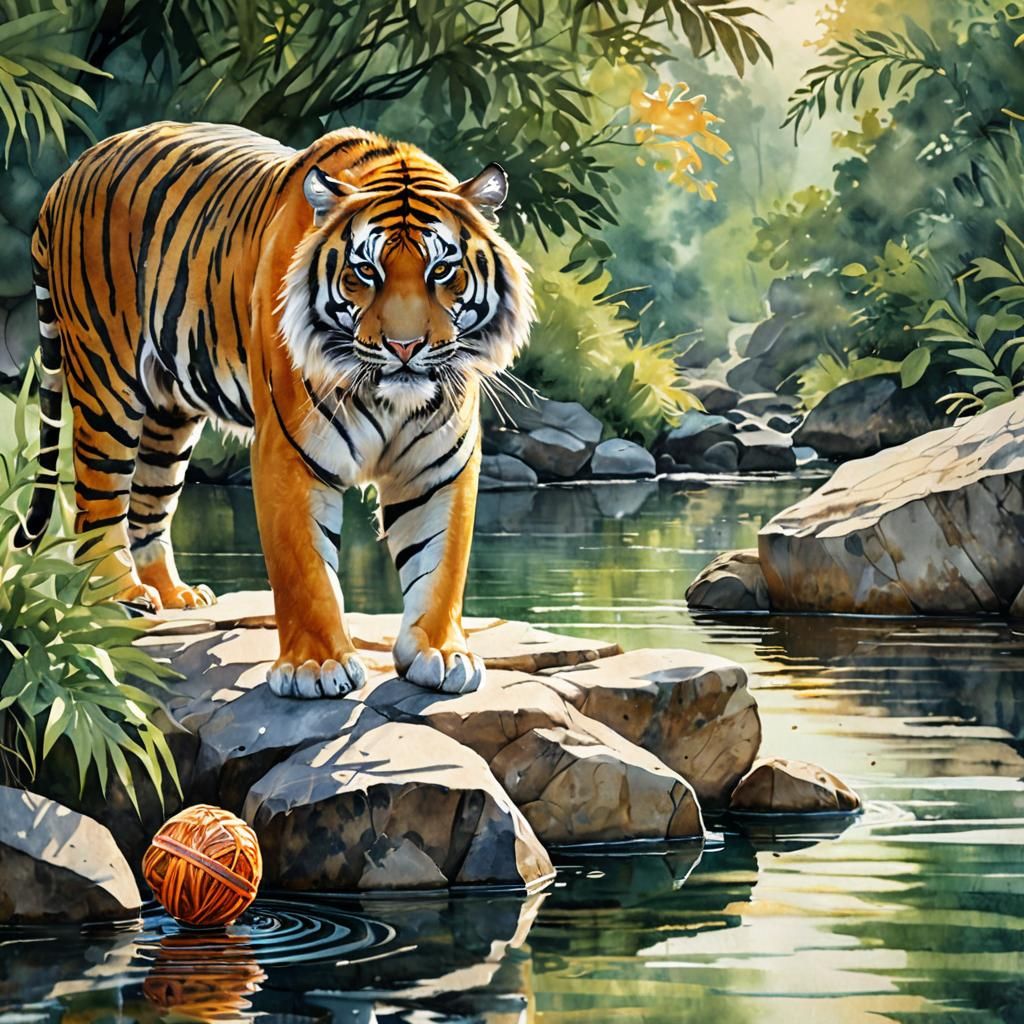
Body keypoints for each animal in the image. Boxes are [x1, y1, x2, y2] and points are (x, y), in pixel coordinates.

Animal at [15, 121, 533, 697]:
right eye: (365, 271)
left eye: (443, 270)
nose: (404, 347)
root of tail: (72, 171)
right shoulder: (289, 453)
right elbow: (304, 568)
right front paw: (317, 666)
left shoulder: (441, 464)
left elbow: (441, 561)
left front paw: (441, 653)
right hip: (108, 382)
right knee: (98, 501)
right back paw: (116, 595)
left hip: (169, 411)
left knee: (149, 503)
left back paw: (174, 596)